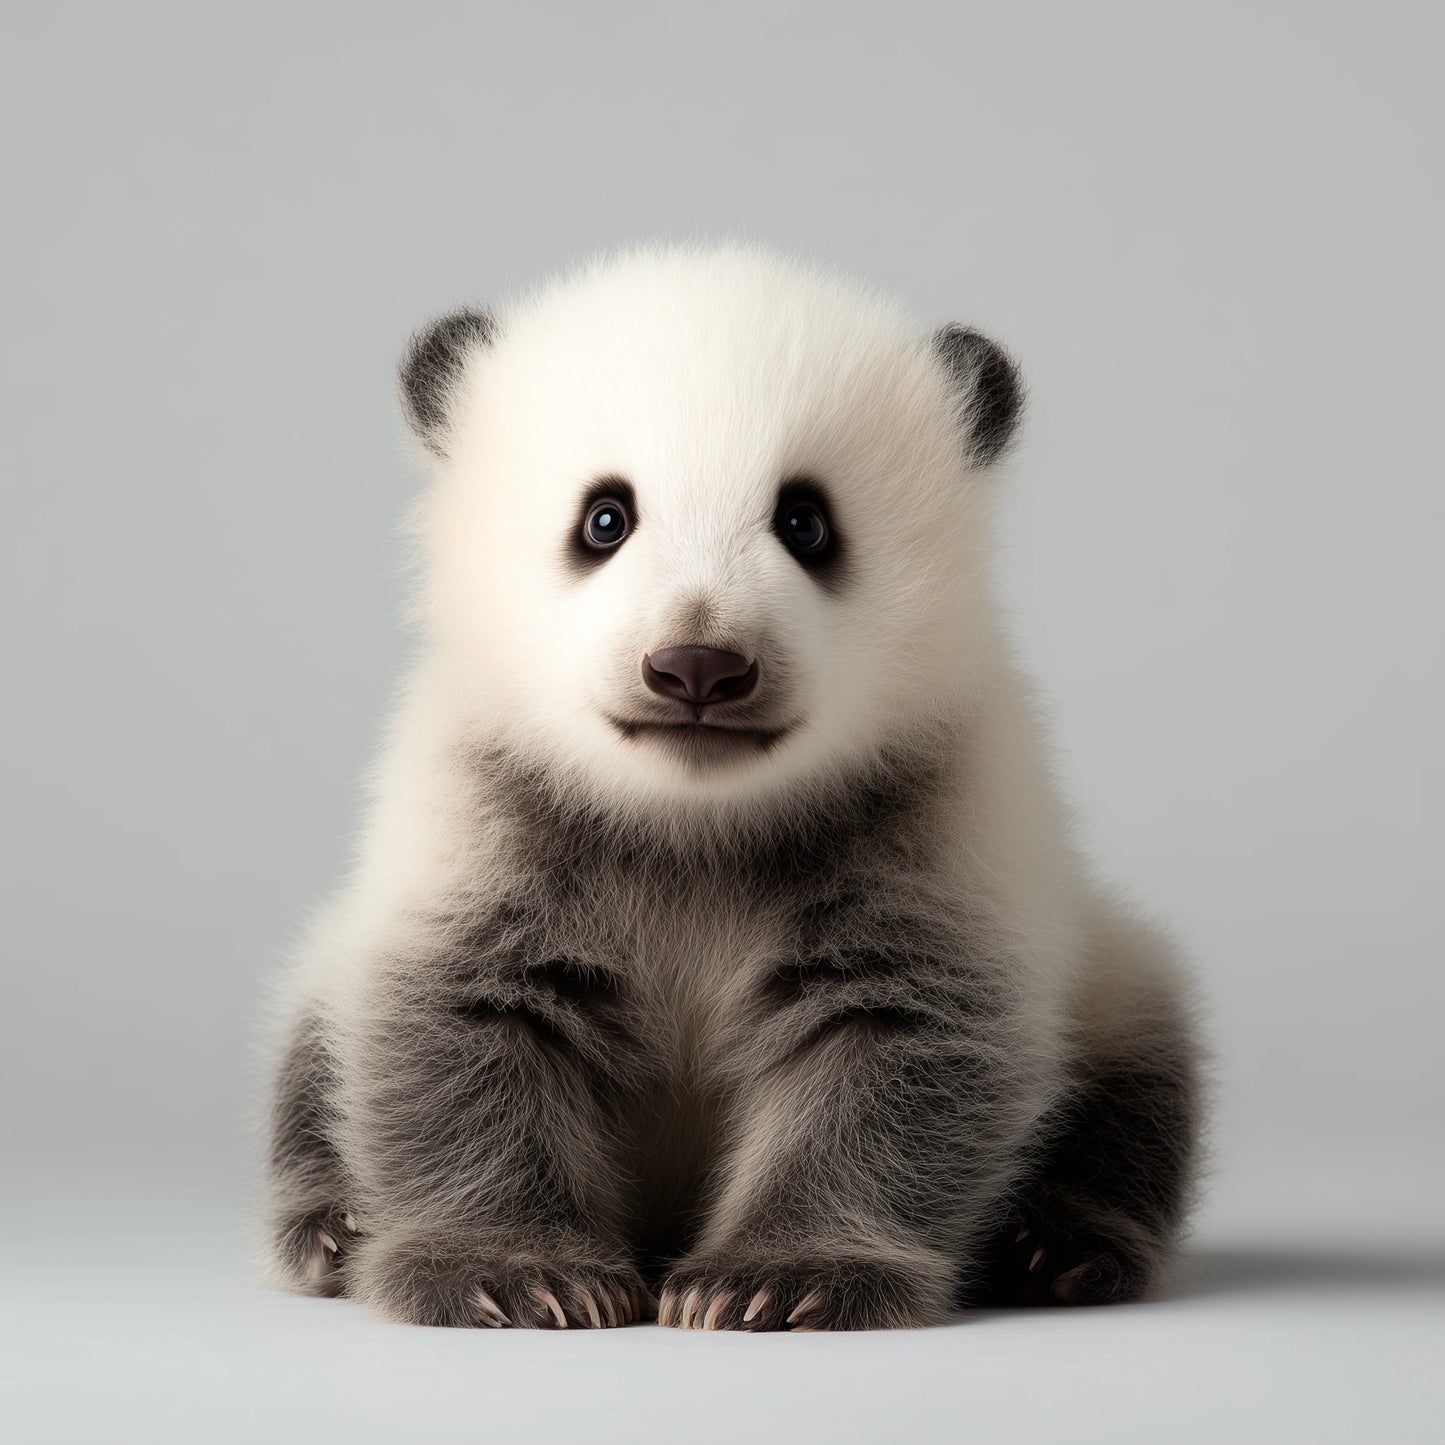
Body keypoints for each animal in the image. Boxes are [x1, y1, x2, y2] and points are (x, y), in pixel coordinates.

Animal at [263, 245, 1200, 1331]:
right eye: (605, 518)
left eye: (805, 521)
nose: (698, 667)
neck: (693, 817)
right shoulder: (483, 805)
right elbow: (462, 1022)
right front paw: (511, 1272)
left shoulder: (938, 810)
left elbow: (895, 1043)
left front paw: (778, 1277)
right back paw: (332, 1226)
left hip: (1108, 971)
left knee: (1137, 1081)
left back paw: (1055, 1244)